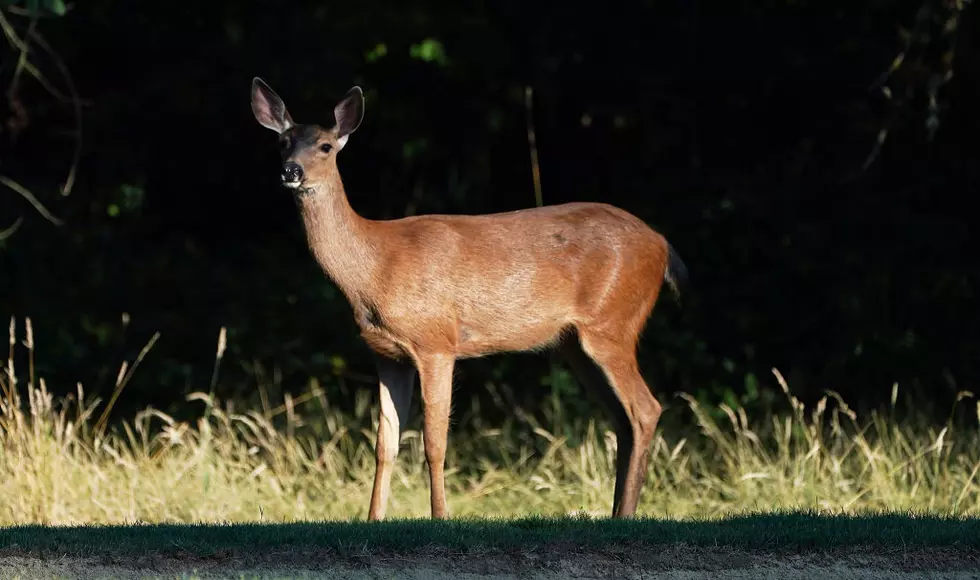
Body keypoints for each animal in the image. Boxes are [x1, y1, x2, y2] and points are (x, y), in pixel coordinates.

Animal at [249, 77, 684, 520]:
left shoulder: (436, 342)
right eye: (283, 142)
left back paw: (625, 513)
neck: (374, 269)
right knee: (622, 418)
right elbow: (385, 445)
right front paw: (372, 519)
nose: (291, 170)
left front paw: (440, 516)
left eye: (325, 146)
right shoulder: (386, 354)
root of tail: (663, 246)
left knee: (645, 409)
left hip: (612, 323)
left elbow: (434, 443)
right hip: (575, 344)